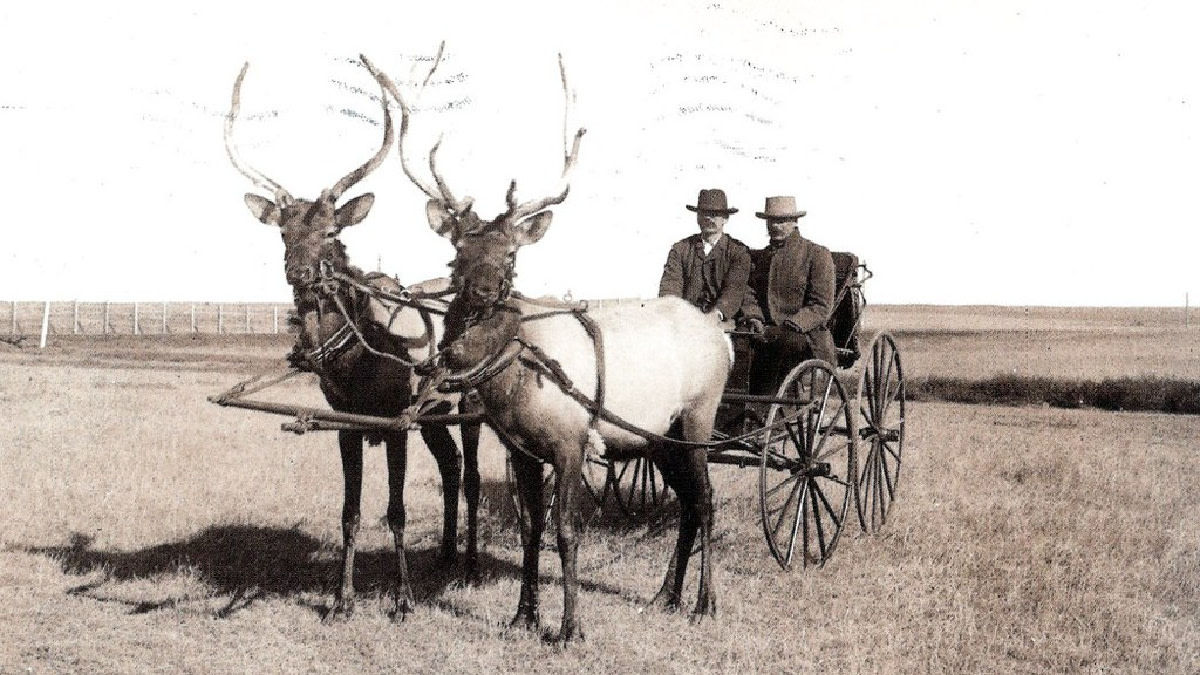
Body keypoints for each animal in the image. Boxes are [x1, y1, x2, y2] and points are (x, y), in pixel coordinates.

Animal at [223, 56, 484, 619]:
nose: (300, 272)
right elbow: (350, 512)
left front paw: (403, 599)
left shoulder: (392, 421)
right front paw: (341, 598)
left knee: (472, 473)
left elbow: (397, 510)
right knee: (450, 463)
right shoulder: (344, 422)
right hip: (430, 411)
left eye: (330, 231)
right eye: (284, 232)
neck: (356, 358)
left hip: (468, 402)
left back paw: (471, 565)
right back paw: (446, 555)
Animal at [374, 44, 729, 638]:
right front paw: (524, 615)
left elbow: (566, 532)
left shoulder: (570, 442)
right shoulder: (521, 449)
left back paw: (704, 601)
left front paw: (570, 628)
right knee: (685, 503)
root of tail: (722, 336)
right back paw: (666, 595)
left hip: (698, 419)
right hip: (658, 435)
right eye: (457, 253)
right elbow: (530, 530)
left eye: (511, 255)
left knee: (705, 499)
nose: (483, 293)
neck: (516, 380)